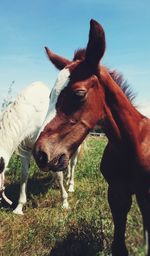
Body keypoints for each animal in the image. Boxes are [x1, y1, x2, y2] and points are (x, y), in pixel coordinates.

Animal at [0, 81, 79, 214]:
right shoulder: (26, 150)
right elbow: (24, 175)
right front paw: (19, 207)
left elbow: (59, 174)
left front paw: (65, 202)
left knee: (72, 164)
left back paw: (71, 185)